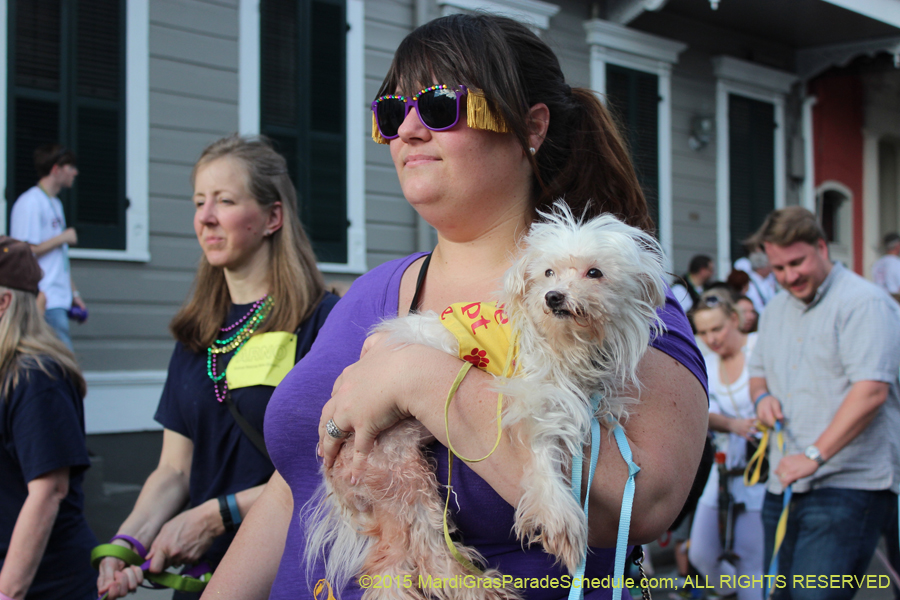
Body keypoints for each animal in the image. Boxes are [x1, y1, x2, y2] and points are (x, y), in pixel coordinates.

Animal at [310, 204, 668, 596]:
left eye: (595, 273)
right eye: (548, 272)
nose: (553, 296)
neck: (564, 343)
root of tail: (336, 476)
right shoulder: (531, 399)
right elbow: (543, 454)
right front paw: (559, 514)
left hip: (403, 488)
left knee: (402, 563)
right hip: (401, 478)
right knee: (417, 559)